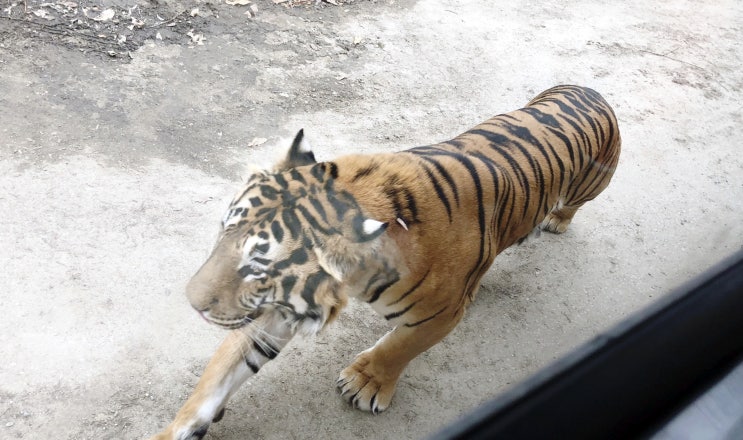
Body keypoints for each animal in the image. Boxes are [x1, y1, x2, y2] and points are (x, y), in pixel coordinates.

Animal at [148, 84, 620, 438]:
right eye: (222, 231)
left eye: (259, 265)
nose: (191, 303)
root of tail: (590, 89)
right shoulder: (279, 309)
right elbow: (221, 371)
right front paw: (180, 428)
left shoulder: (439, 315)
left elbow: (400, 346)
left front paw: (366, 383)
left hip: (591, 186)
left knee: (571, 207)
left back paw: (555, 221)